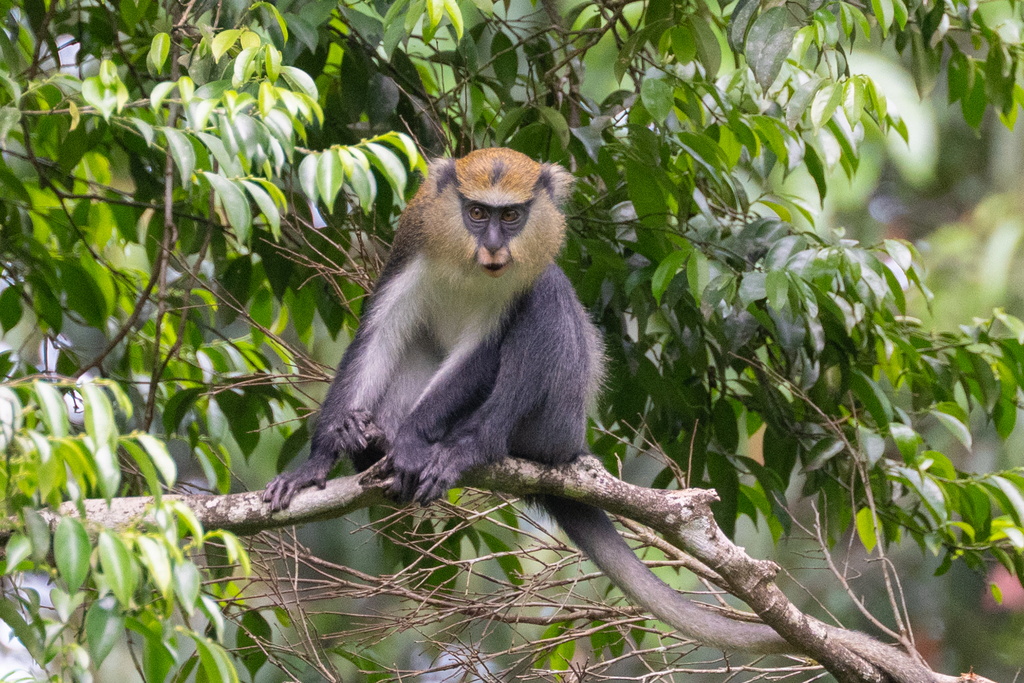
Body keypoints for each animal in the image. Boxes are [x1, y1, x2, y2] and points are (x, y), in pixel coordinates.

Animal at [263, 148, 935, 683]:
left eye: (512, 216)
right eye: (477, 213)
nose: (494, 245)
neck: (469, 266)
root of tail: (571, 445)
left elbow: (491, 344)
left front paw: (415, 445)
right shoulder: (414, 244)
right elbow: (377, 337)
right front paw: (321, 458)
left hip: (552, 424)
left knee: (547, 301)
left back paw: (466, 449)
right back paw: (369, 442)